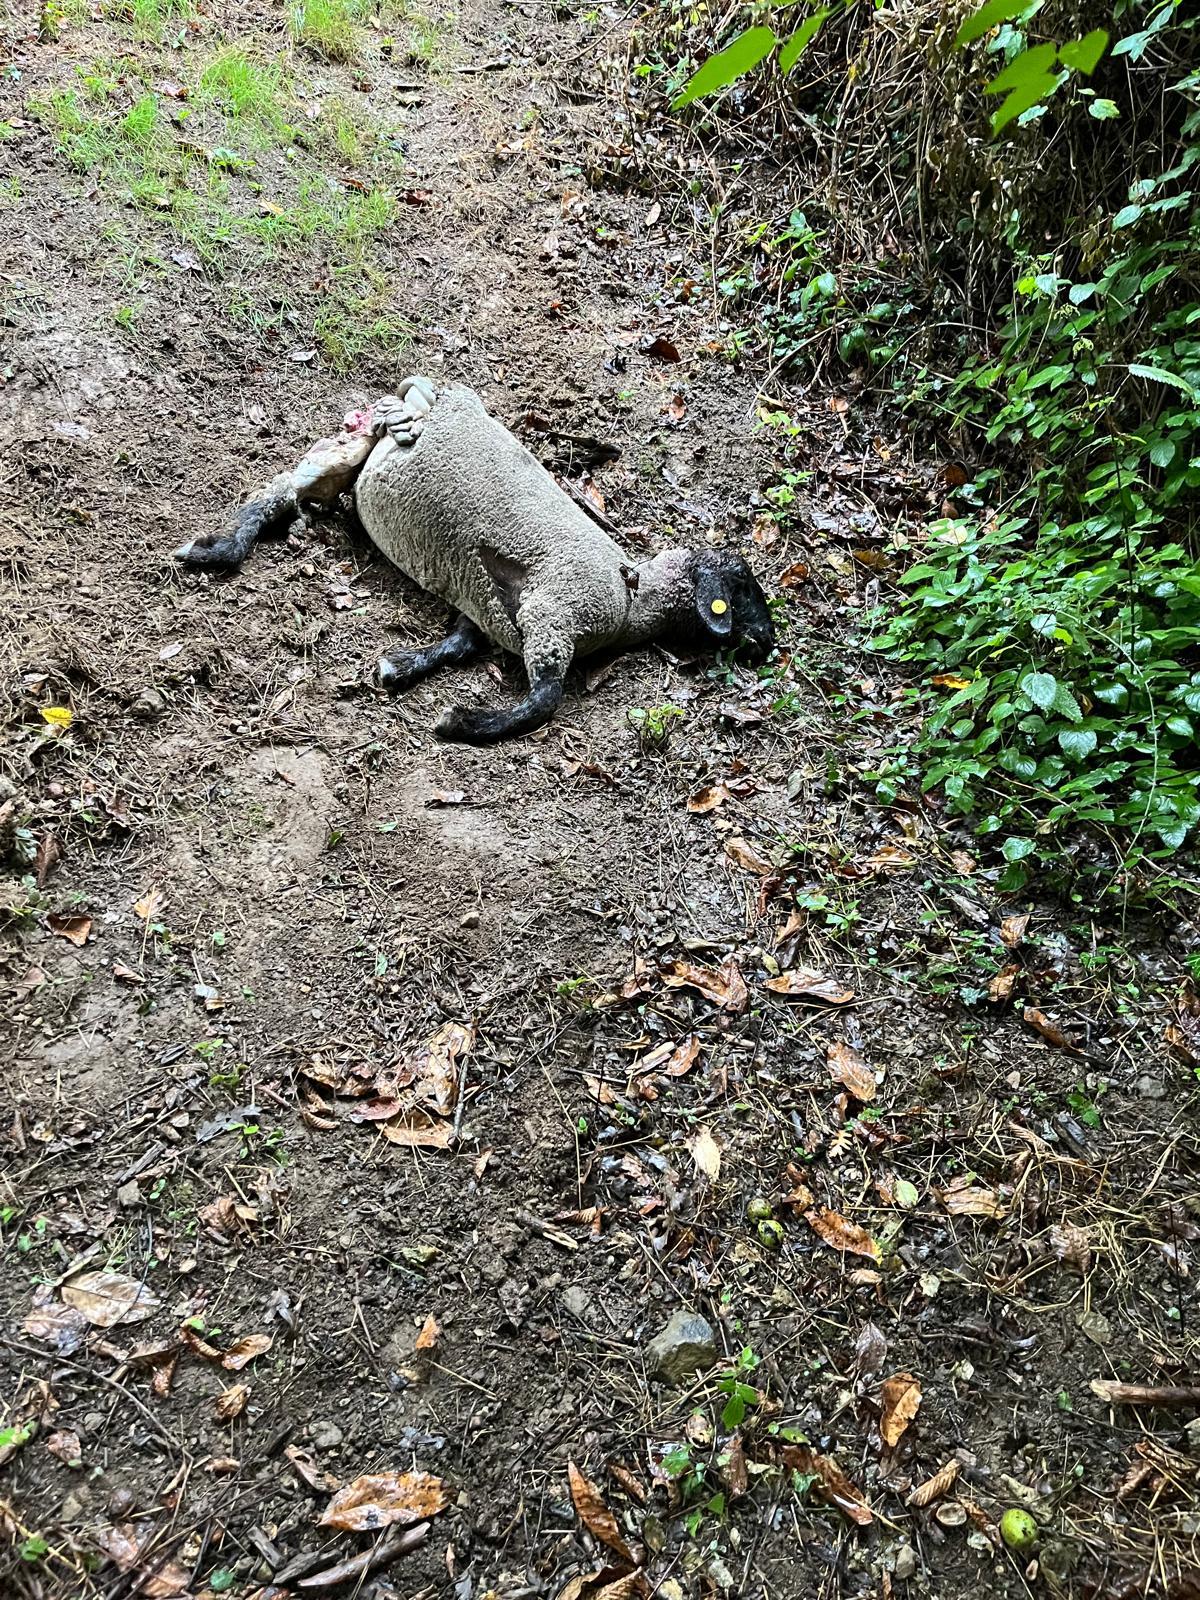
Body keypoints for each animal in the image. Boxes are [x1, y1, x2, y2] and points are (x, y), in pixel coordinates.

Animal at [176, 376, 774, 744]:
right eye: (743, 584)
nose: (767, 644)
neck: (631, 600)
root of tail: (433, 391)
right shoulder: (548, 616)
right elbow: (544, 701)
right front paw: (460, 721)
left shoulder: (487, 606)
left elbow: (461, 642)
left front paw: (402, 667)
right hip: (354, 444)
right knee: (276, 493)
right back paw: (212, 552)